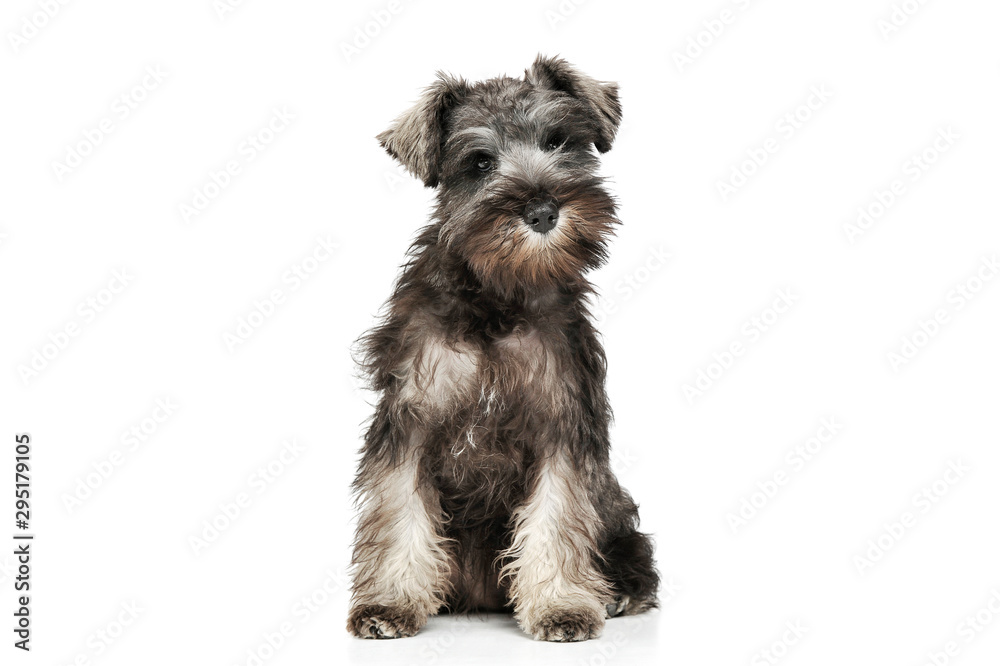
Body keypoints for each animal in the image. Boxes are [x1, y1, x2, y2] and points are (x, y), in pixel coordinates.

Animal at [348, 53, 660, 640]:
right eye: (479, 163)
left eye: (560, 142)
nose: (542, 211)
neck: (498, 296)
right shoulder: (409, 423)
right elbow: (400, 514)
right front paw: (389, 604)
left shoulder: (561, 425)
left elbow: (556, 517)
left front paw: (562, 605)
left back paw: (621, 593)